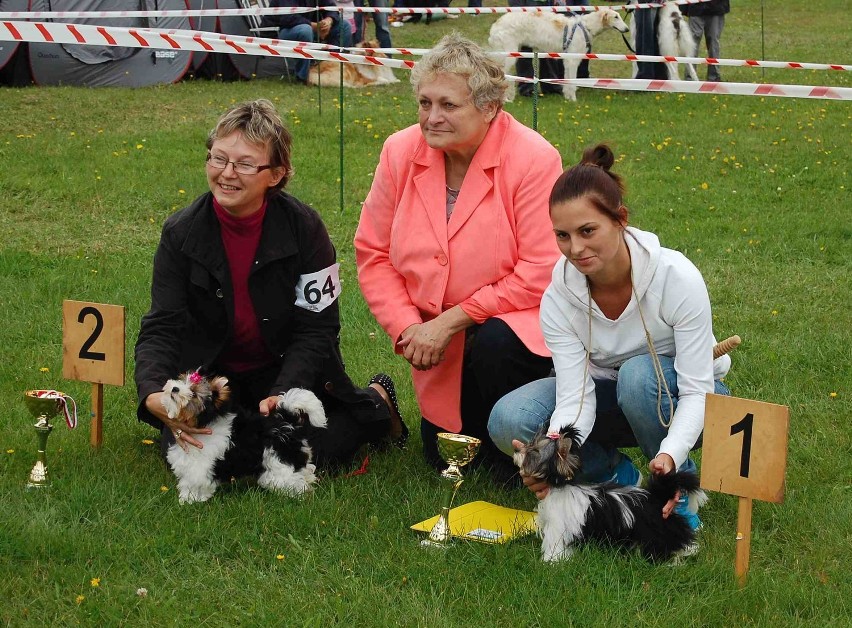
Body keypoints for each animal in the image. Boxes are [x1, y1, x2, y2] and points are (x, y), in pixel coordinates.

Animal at [161, 370, 328, 502]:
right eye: (182, 380)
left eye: (194, 394)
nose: (175, 388)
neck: (203, 424)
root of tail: (287, 422)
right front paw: (187, 498)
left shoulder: (200, 466)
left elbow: (195, 482)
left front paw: (189, 500)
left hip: (280, 461)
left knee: (290, 479)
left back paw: (300, 495)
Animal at [490, 8, 628, 102]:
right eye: (616, 17)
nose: (627, 29)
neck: (586, 27)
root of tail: (496, 25)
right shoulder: (573, 59)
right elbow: (572, 82)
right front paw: (573, 99)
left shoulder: (567, 59)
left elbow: (567, 80)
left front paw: (567, 97)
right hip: (508, 54)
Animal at [516, 424, 704, 560]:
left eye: (534, 452)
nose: (517, 450)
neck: (559, 488)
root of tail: (656, 496)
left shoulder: (557, 527)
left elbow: (554, 545)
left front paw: (551, 561)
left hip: (655, 531)